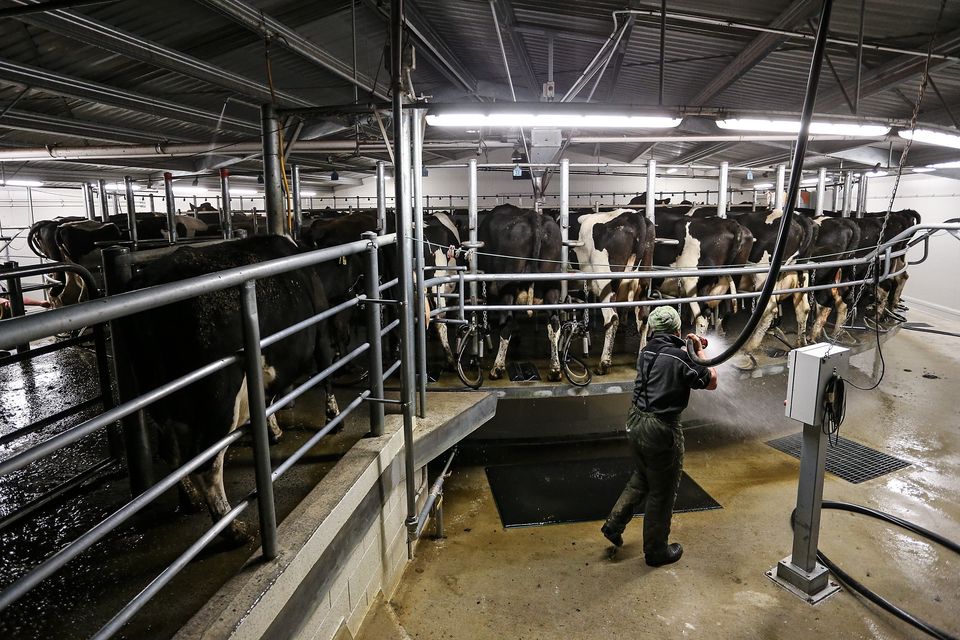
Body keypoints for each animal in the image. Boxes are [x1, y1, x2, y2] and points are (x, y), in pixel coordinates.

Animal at [122, 235, 338, 544]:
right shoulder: (320, 333)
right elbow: (327, 375)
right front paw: (334, 418)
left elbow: (266, 399)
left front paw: (273, 431)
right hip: (220, 394)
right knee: (207, 463)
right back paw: (231, 527)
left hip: (159, 397)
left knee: (171, 451)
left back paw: (190, 501)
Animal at [478, 205, 564, 380]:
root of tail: (534, 217)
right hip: (553, 285)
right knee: (554, 324)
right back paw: (555, 369)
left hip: (507, 284)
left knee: (506, 324)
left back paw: (497, 368)